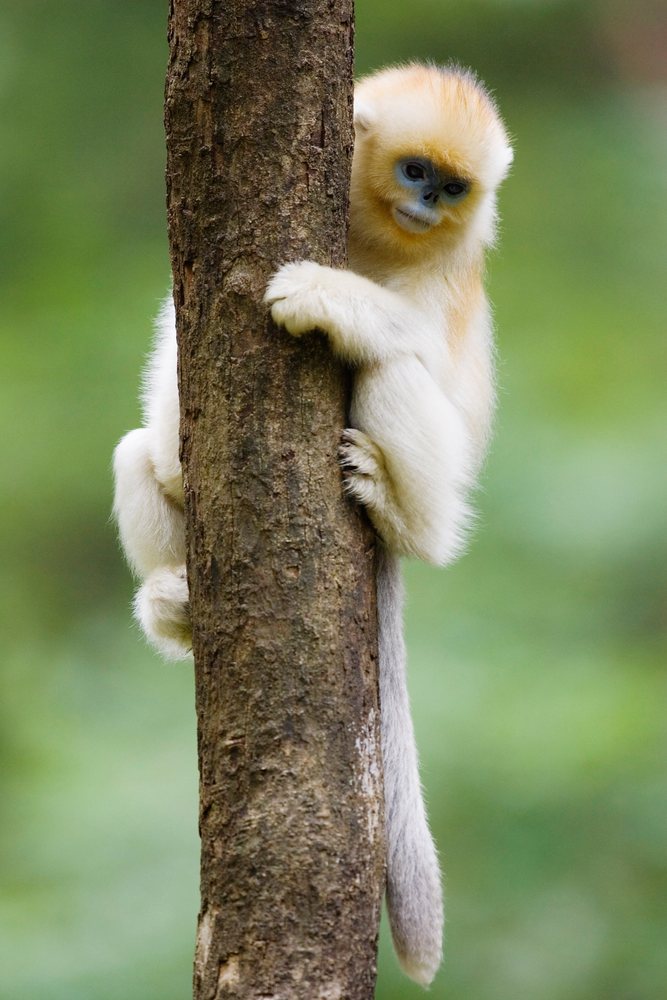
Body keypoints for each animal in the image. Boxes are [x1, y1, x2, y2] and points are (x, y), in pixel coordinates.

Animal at [113, 62, 512, 987]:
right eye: (414, 171)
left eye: (453, 187)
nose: (429, 204)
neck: (378, 240)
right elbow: (174, 346)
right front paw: (176, 447)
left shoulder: (450, 275)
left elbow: (429, 362)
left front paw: (322, 295)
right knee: (132, 453)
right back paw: (174, 605)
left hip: (433, 497)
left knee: (395, 379)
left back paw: (392, 506)